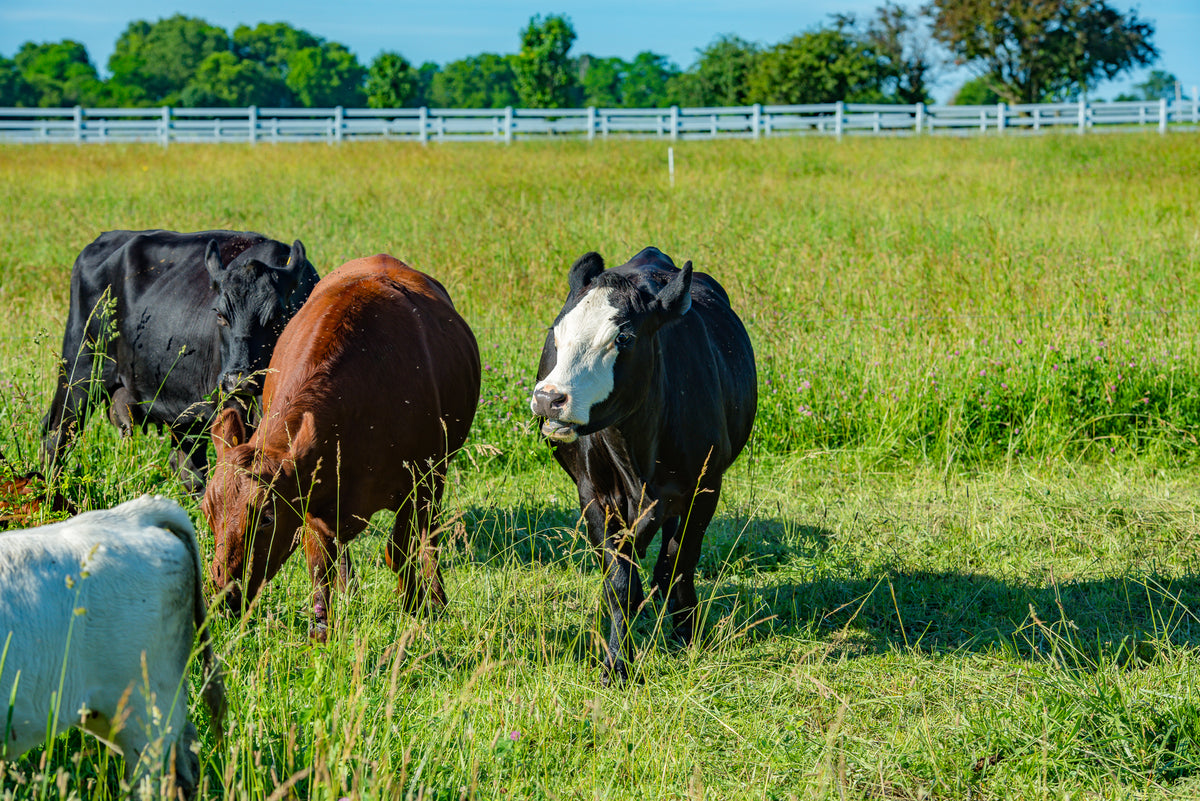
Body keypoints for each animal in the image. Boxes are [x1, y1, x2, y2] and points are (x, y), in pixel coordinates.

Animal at [41, 229, 320, 494]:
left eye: (278, 315)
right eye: (220, 314)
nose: (238, 380)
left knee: (187, 467)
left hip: (184, 415)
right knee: (55, 435)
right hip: (79, 374)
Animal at [202, 254, 481, 639]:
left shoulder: (418, 482)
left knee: (430, 539)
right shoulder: (310, 498)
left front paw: (415, 612)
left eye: (266, 517)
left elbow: (400, 551)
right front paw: (322, 631)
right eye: (206, 510)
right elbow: (320, 567)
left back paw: (437, 598)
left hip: (437, 476)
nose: (223, 593)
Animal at [530, 247, 757, 684]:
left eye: (622, 338)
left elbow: (676, 566)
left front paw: (687, 635)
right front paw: (617, 663)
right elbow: (620, 583)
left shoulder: (704, 489)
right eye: (556, 331)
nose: (549, 398)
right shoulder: (594, 496)